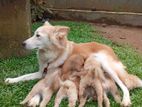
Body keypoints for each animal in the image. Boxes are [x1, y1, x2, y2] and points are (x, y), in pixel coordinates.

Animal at [5, 21, 142, 106]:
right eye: (34, 34)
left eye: (38, 35)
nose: (22, 43)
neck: (51, 55)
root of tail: (109, 48)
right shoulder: (41, 73)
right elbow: (25, 76)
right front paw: (11, 80)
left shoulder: (53, 75)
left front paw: (34, 99)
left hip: (106, 65)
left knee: (124, 85)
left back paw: (126, 100)